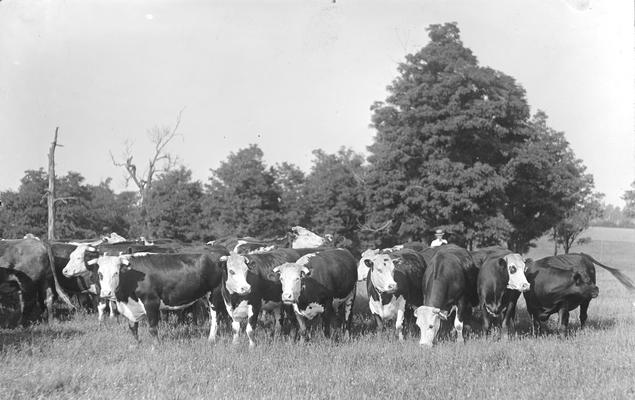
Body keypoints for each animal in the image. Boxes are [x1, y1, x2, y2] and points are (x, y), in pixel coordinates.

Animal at [92, 253, 226, 344]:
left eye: (116, 273)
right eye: (100, 274)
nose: (106, 293)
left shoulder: (151, 302)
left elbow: (152, 328)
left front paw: (156, 346)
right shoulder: (131, 308)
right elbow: (133, 327)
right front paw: (137, 344)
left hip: (215, 294)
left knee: (216, 317)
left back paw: (211, 339)